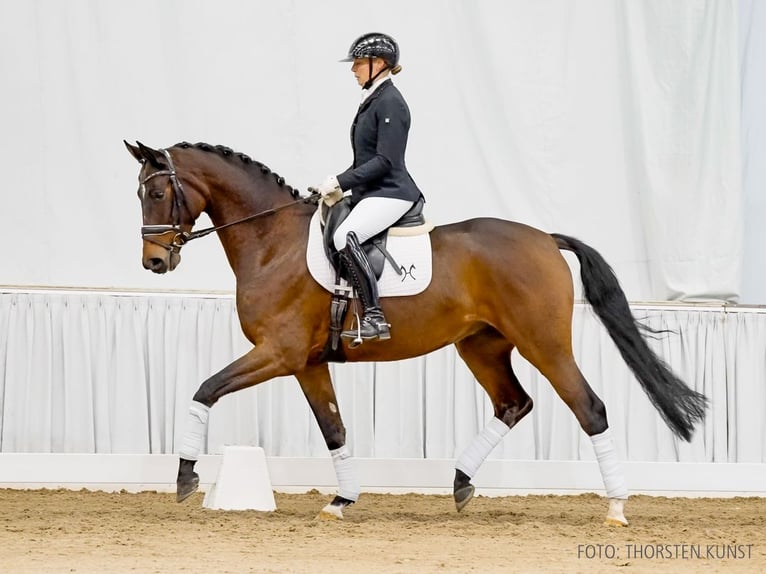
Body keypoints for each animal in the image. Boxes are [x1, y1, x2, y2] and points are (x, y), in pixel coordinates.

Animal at [126, 141, 708, 528]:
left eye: (156, 191)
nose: (154, 261)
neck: (273, 242)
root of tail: (545, 238)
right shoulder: (307, 363)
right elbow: (334, 429)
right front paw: (341, 500)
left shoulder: (277, 353)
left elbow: (205, 389)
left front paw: (185, 476)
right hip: (481, 345)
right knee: (514, 404)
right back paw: (461, 483)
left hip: (544, 343)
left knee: (590, 409)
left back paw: (616, 508)